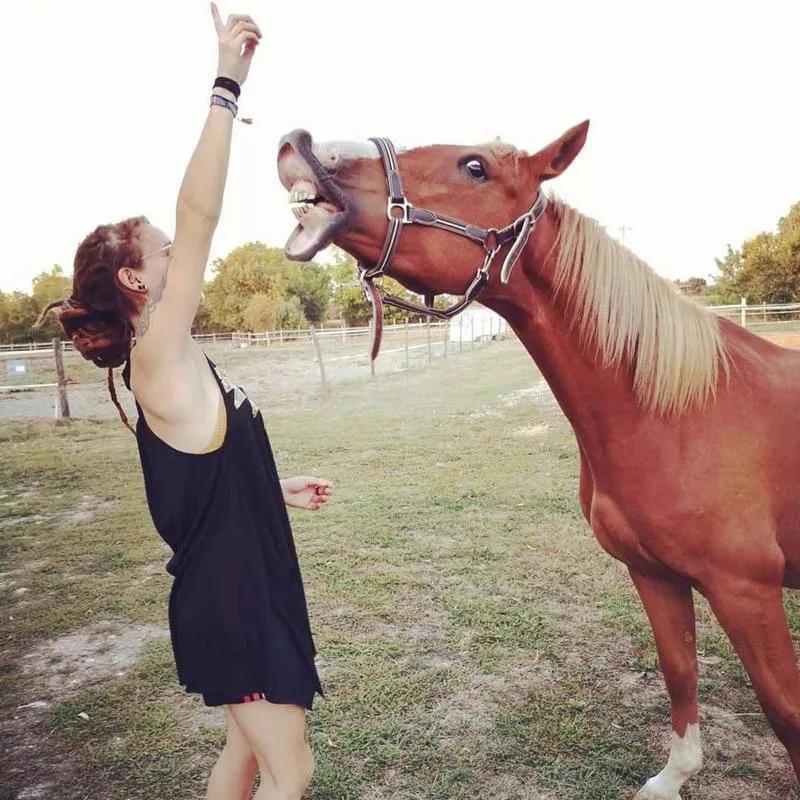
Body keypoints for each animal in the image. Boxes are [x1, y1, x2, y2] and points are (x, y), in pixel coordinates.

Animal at [276, 122, 800, 796]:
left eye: (475, 167)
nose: (301, 145)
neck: (682, 411)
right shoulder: (654, 574)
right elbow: (679, 669)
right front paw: (673, 776)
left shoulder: (746, 590)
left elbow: (784, 709)